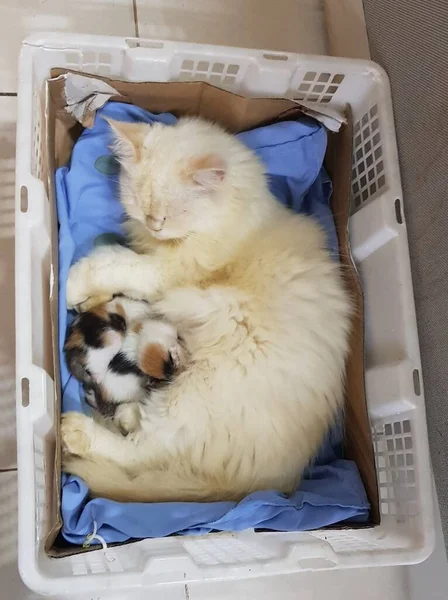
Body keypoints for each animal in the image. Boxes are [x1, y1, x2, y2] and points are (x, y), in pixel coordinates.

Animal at [61, 115, 352, 504]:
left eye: (173, 214)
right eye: (139, 202)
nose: (154, 224)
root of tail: (258, 487)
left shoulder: (166, 273)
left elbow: (111, 262)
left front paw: (71, 286)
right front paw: (88, 300)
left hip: (192, 395)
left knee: (140, 453)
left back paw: (75, 431)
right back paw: (125, 415)